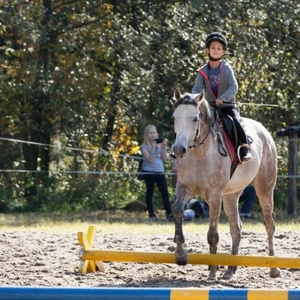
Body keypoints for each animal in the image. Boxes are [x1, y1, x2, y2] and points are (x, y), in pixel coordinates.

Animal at [172, 89, 280, 282]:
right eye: (174, 118)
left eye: (195, 119)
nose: (178, 150)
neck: (199, 152)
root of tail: (264, 131)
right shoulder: (184, 188)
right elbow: (177, 210)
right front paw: (181, 255)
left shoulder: (214, 196)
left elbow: (212, 234)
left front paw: (212, 272)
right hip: (231, 194)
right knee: (236, 228)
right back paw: (230, 269)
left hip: (265, 188)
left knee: (269, 225)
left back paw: (273, 269)